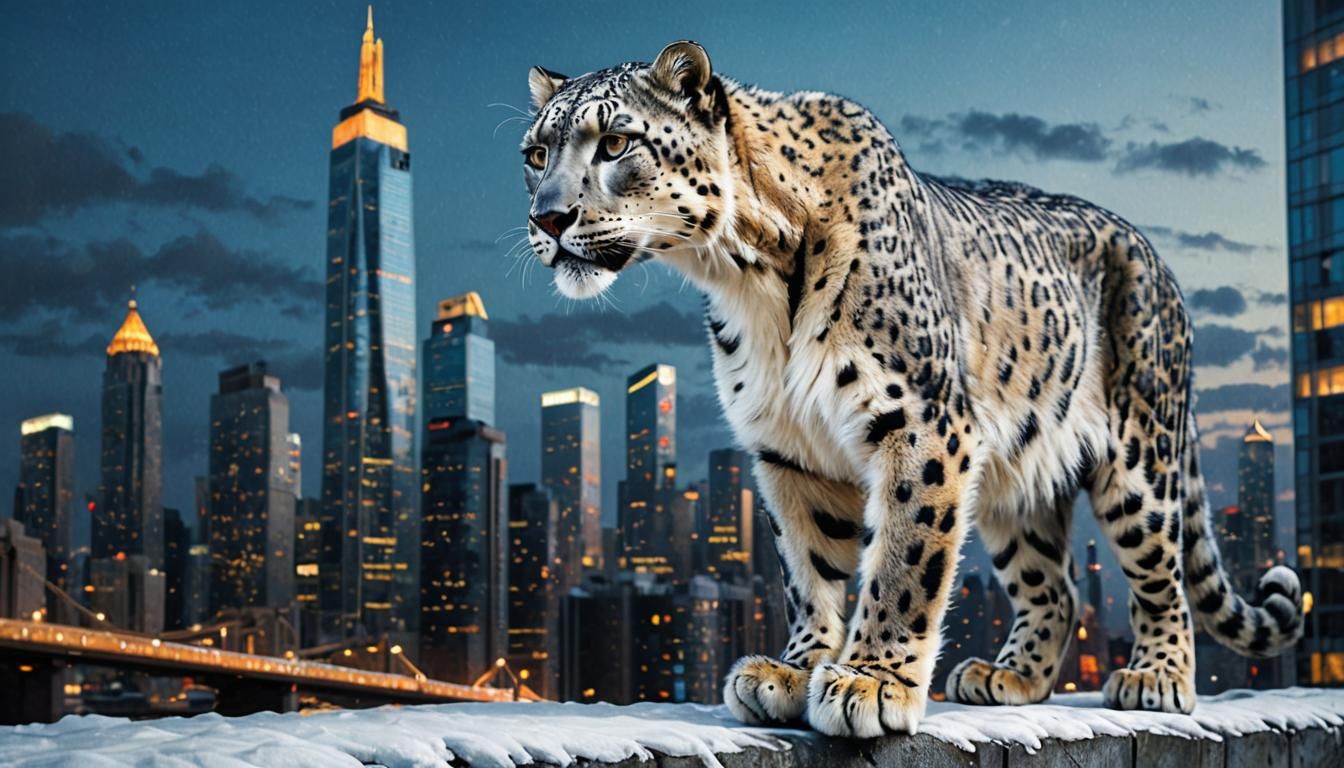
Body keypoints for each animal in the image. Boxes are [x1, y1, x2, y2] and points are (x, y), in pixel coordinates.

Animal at [517, 41, 1304, 737]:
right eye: (535, 156)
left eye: (616, 143)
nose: (546, 219)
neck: (746, 276)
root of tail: (1156, 259)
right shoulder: (787, 449)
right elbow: (808, 568)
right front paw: (796, 670)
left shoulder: (922, 422)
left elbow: (904, 558)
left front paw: (871, 682)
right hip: (1018, 479)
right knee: (1056, 584)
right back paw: (1008, 675)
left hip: (1140, 456)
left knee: (1160, 571)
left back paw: (1157, 677)